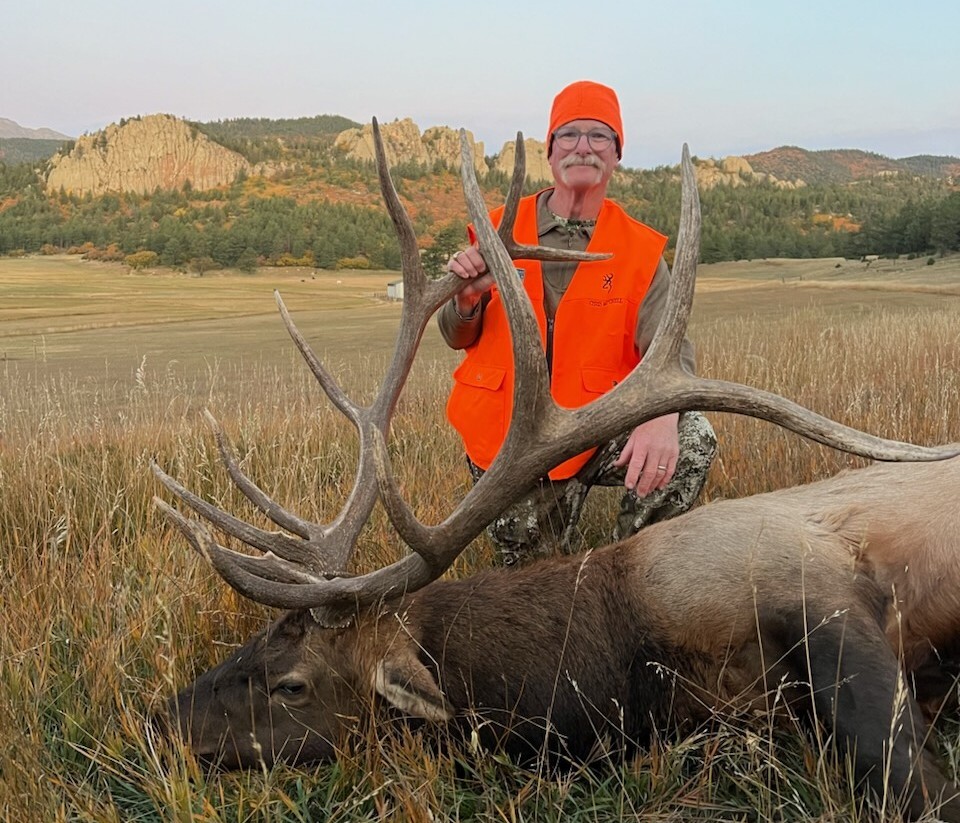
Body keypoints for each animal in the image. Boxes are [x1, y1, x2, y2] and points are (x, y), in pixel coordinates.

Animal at [152, 120, 960, 821]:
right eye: (256, 637)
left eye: (291, 683)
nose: (160, 721)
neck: (627, 655)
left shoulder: (819, 596)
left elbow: (912, 783)